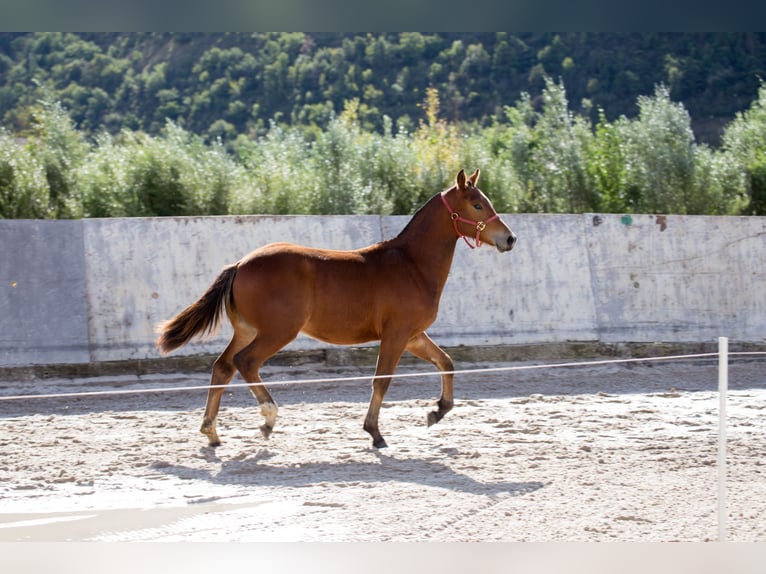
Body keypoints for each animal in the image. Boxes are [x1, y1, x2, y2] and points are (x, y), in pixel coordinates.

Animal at [155, 169, 516, 452]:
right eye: (477, 204)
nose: (509, 239)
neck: (411, 265)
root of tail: (240, 265)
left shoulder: (413, 335)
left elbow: (447, 363)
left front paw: (436, 411)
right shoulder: (396, 335)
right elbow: (381, 381)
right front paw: (375, 433)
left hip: (247, 330)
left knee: (222, 367)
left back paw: (212, 433)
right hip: (277, 332)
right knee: (246, 363)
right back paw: (268, 419)